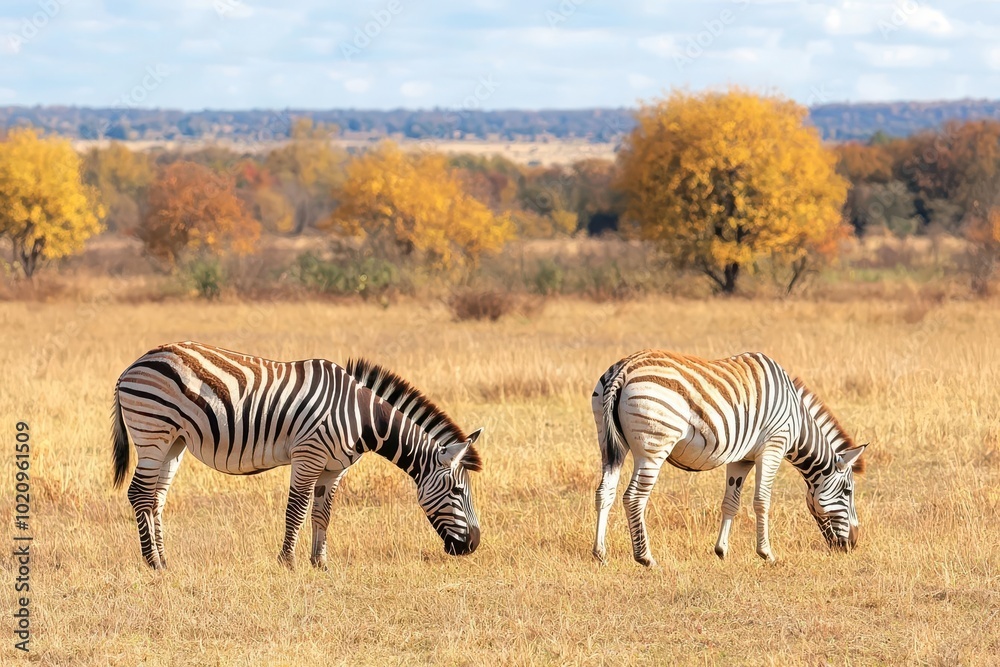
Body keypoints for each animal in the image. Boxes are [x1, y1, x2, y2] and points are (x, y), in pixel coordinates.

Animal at [110, 341, 483, 570]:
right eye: (457, 491)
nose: (473, 545)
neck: (362, 418)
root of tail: (134, 364)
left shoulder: (333, 469)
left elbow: (322, 514)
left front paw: (320, 563)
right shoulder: (309, 455)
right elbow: (297, 510)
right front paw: (287, 561)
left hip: (172, 442)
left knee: (156, 497)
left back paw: (164, 559)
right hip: (153, 432)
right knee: (139, 494)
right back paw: (152, 563)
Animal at [591, 349, 866, 567]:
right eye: (848, 492)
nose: (853, 544)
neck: (797, 422)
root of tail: (624, 368)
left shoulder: (741, 459)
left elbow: (730, 503)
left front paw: (721, 550)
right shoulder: (773, 447)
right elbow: (762, 501)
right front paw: (766, 553)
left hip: (609, 443)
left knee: (605, 491)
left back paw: (600, 553)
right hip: (653, 447)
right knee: (634, 498)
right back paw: (645, 557)